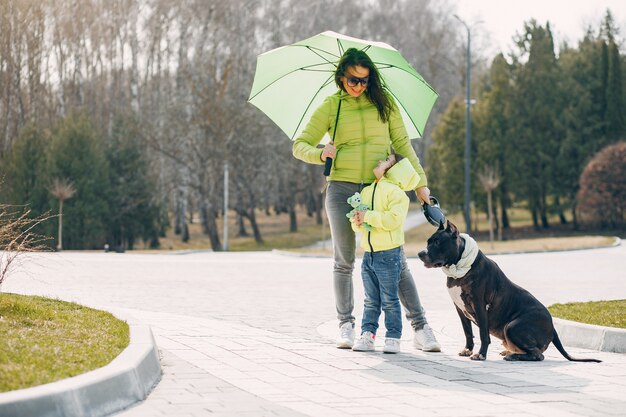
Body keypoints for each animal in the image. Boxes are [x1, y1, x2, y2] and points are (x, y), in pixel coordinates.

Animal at [420, 221, 600, 360]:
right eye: (428, 242)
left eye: (437, 242)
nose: (421, 253)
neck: (459, 268)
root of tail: (553, 327)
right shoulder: (459, 308)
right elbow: (468, 332)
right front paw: (467, 350)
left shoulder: (479, 305)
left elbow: (483, 334)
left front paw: (481, 355)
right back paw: (510, 352)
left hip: (513, 327)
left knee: (538, 354)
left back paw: (514, 356)